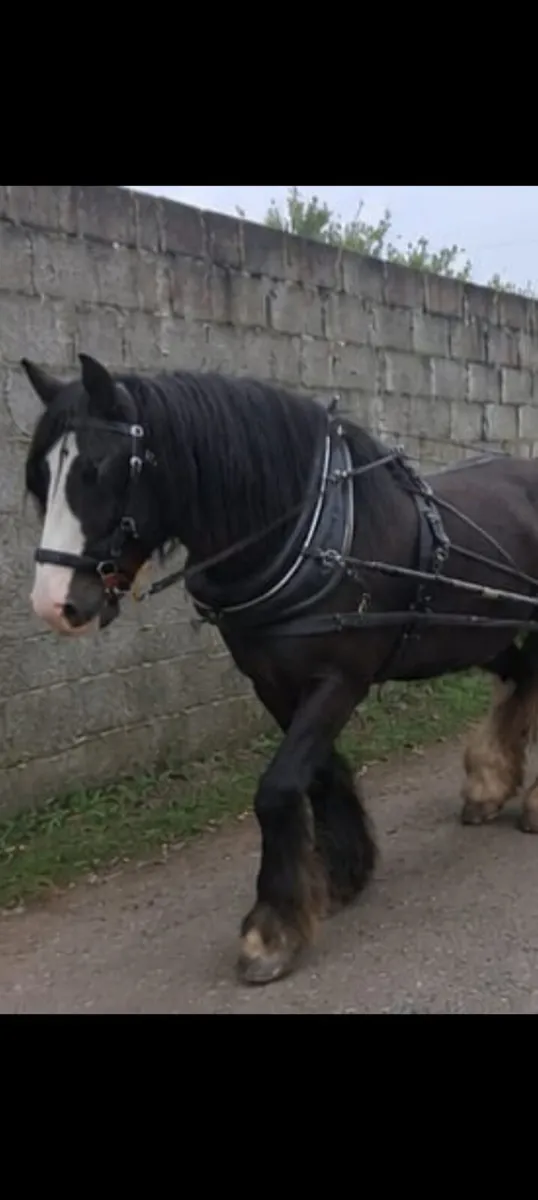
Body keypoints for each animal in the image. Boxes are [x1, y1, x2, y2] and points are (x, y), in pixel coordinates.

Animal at [21, 352, 538, 986]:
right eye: (41, 476)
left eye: (99, 470)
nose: (54, 603)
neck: (312, 539)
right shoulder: (271, 682)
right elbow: (318, 774)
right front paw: (341, 875)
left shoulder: (342, 679)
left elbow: (278, 787)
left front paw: (271, 930)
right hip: (479, 631)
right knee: (523, 672)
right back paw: (490, 782)